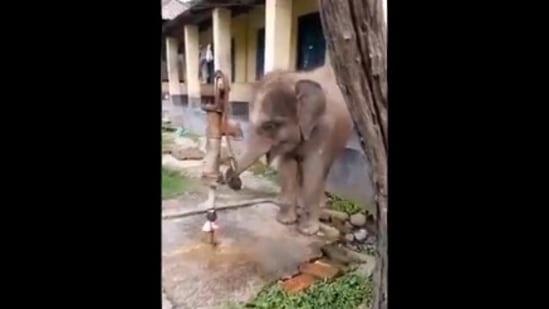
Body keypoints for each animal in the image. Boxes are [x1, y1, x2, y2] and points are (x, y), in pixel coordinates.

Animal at [223, 66, 352, 235]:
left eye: (270, 126)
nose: (235, 182)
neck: (294, 81)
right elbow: (287, 167)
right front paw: (285, 221)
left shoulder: (324, 130)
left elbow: (313, 169)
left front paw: (307, 231)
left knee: (324, 169)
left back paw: (320, 205)